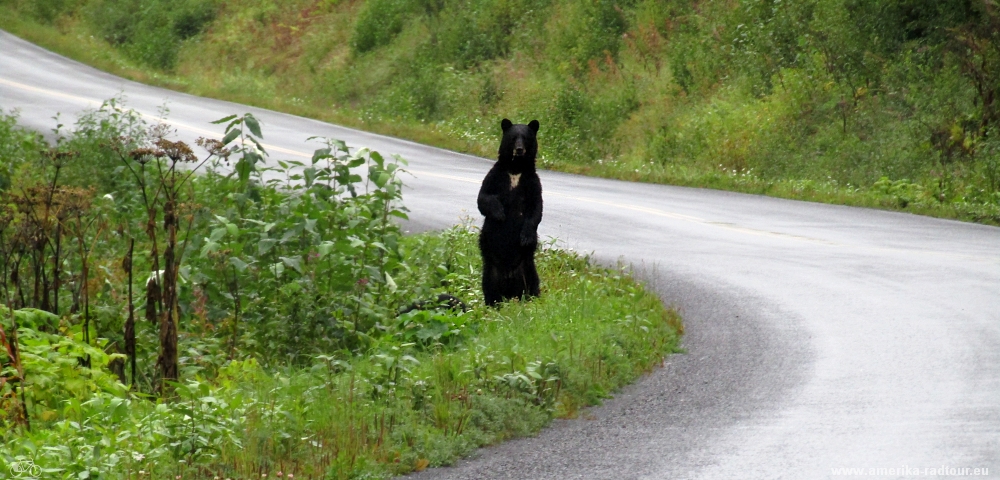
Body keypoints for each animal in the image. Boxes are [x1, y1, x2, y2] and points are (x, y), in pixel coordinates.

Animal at [474, 118, 540, 306]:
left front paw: (526, 237)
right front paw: (500, 213)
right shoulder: (495, 176)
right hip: (490, 271)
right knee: (489, 288)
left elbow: (536, 209)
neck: (515, 169)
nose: (519, 149)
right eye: (513, 137)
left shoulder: (532, 183)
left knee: (533, 284)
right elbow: (483, 197)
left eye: (525, 138)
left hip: (527, 268)